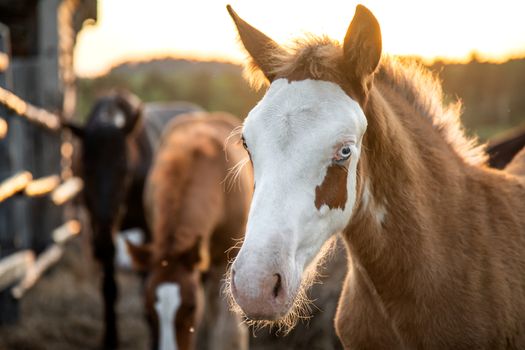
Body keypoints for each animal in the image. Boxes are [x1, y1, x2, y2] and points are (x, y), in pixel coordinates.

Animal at [63, 91, 199, 348]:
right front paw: (110, 338)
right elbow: (109, 286)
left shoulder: (150, 229)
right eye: (84, 168)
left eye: (124, 168)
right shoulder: (98, 226)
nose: (107, 220)